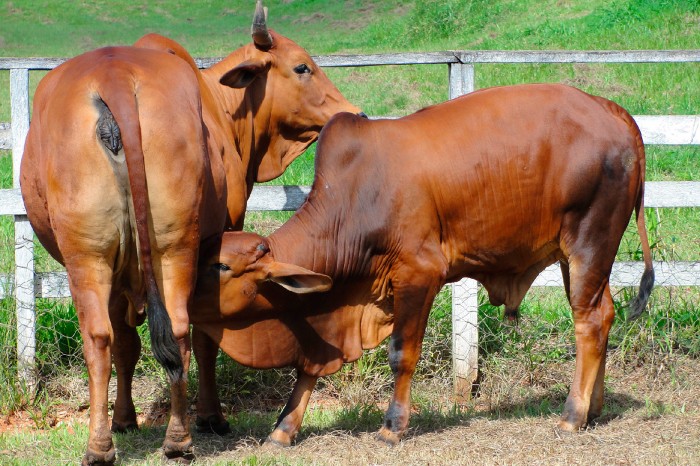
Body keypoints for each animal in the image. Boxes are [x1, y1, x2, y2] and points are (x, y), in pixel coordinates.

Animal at [20, 2, 360, 462]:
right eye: (302, 67)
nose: (355, 113)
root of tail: (114, 76)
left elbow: (129, 343)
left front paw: (125, 419)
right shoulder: (221, 235)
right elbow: (188, 338)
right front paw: (198, 417)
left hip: (97, 255)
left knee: (111, 338)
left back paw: (122, 443)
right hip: (160, 249)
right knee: (172, 332)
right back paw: (170, 439)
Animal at [190, 84, 652, 448]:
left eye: (220, 267)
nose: (175, 295)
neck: (353, 201)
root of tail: (614, 112)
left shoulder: (419, 274)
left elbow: (401, 353)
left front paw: (393, 425)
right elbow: (308, 365)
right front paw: (285, 427)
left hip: (589, 243)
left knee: (588, 321)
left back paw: (572, 415)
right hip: (578, 258)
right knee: (603, 314)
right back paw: (593, 408)